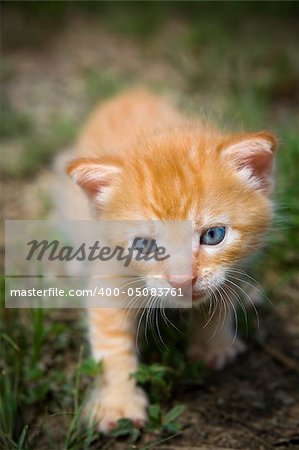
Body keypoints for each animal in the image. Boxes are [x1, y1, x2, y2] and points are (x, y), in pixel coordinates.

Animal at [62, 89, 278, 432]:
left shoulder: (234, 264)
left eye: (213, 235)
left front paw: (212, 345)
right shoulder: (109, 276)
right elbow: (112, 343)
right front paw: (118, 403)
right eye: (145, 246)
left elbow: (221, 297)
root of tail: (130, 93)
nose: (182, 280)